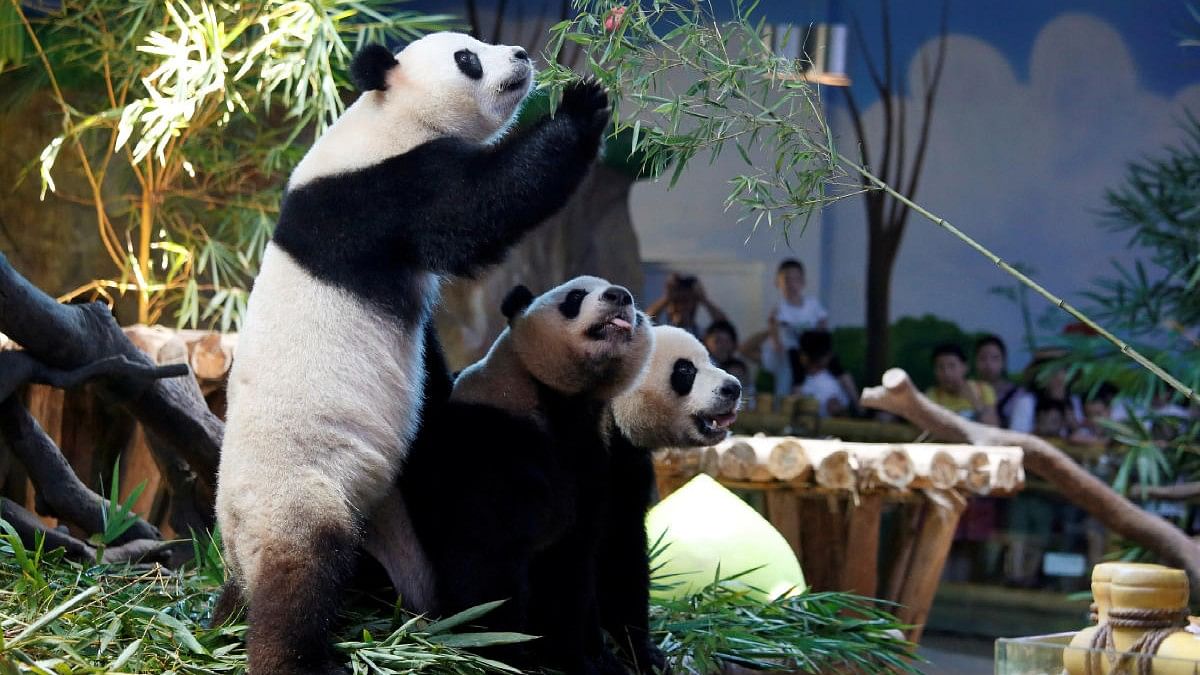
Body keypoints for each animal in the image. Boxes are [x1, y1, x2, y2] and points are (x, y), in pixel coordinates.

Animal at [211, 34, 614, 672]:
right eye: (467, 58)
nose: (521, 55)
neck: (387, 116)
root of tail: (233, 534)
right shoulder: (381, 196)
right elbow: (480, 208)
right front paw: (583, 105)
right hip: (299, 489)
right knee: (301, 574)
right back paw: (296, 655)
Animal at [403, 275, 652, 672]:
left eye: (632, 305)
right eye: (575, 297)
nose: (620, 296)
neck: (559, 403)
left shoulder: (593, 462)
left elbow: (574, 559)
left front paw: (579, 656)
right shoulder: (495, 444)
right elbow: (487, 558)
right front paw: (504, 653)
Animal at [604, 324, 744, 667]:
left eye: (710, 360)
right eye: (685, 370)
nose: (732, 388)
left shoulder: (626, 465)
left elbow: (622, 546)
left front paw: (642, 650)